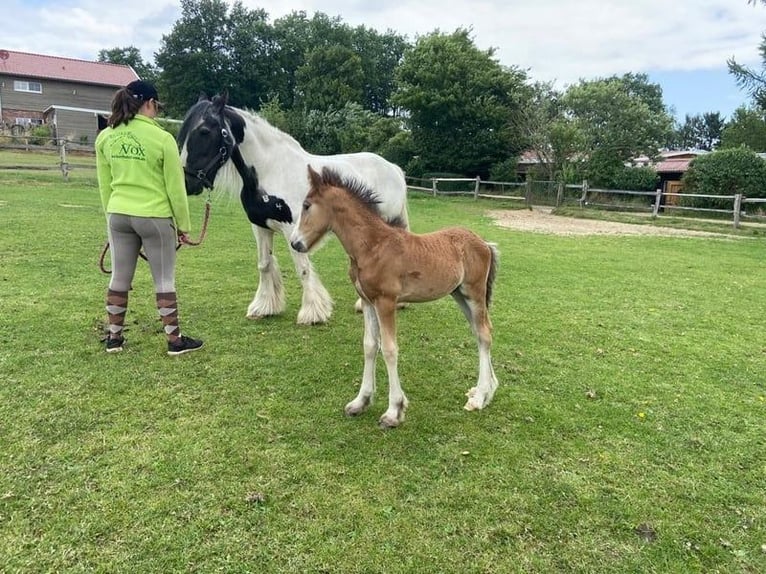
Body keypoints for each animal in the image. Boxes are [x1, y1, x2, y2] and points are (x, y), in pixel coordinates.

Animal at [178, 96, 412, 326]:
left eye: (204, 131)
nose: (187, 183)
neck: (270, 169)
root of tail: (393, 168)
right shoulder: (260, 227)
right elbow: (264, 264)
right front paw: (263, 307)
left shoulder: (293, 229)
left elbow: (303, 269)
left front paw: (312, 313)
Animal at [292, 165, 500, 428]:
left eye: (306, 205)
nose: (295, 243)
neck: (372, 246)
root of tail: (483, 242)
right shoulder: (368, 301)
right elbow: (370, 345)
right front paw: (361, 401)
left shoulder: (386, 301)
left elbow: (390, 349)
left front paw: (394, 411)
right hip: (460, 295)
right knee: (480, 331)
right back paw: (486, 390)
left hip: (474, 292)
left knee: (484, 334)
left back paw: (480, 396)